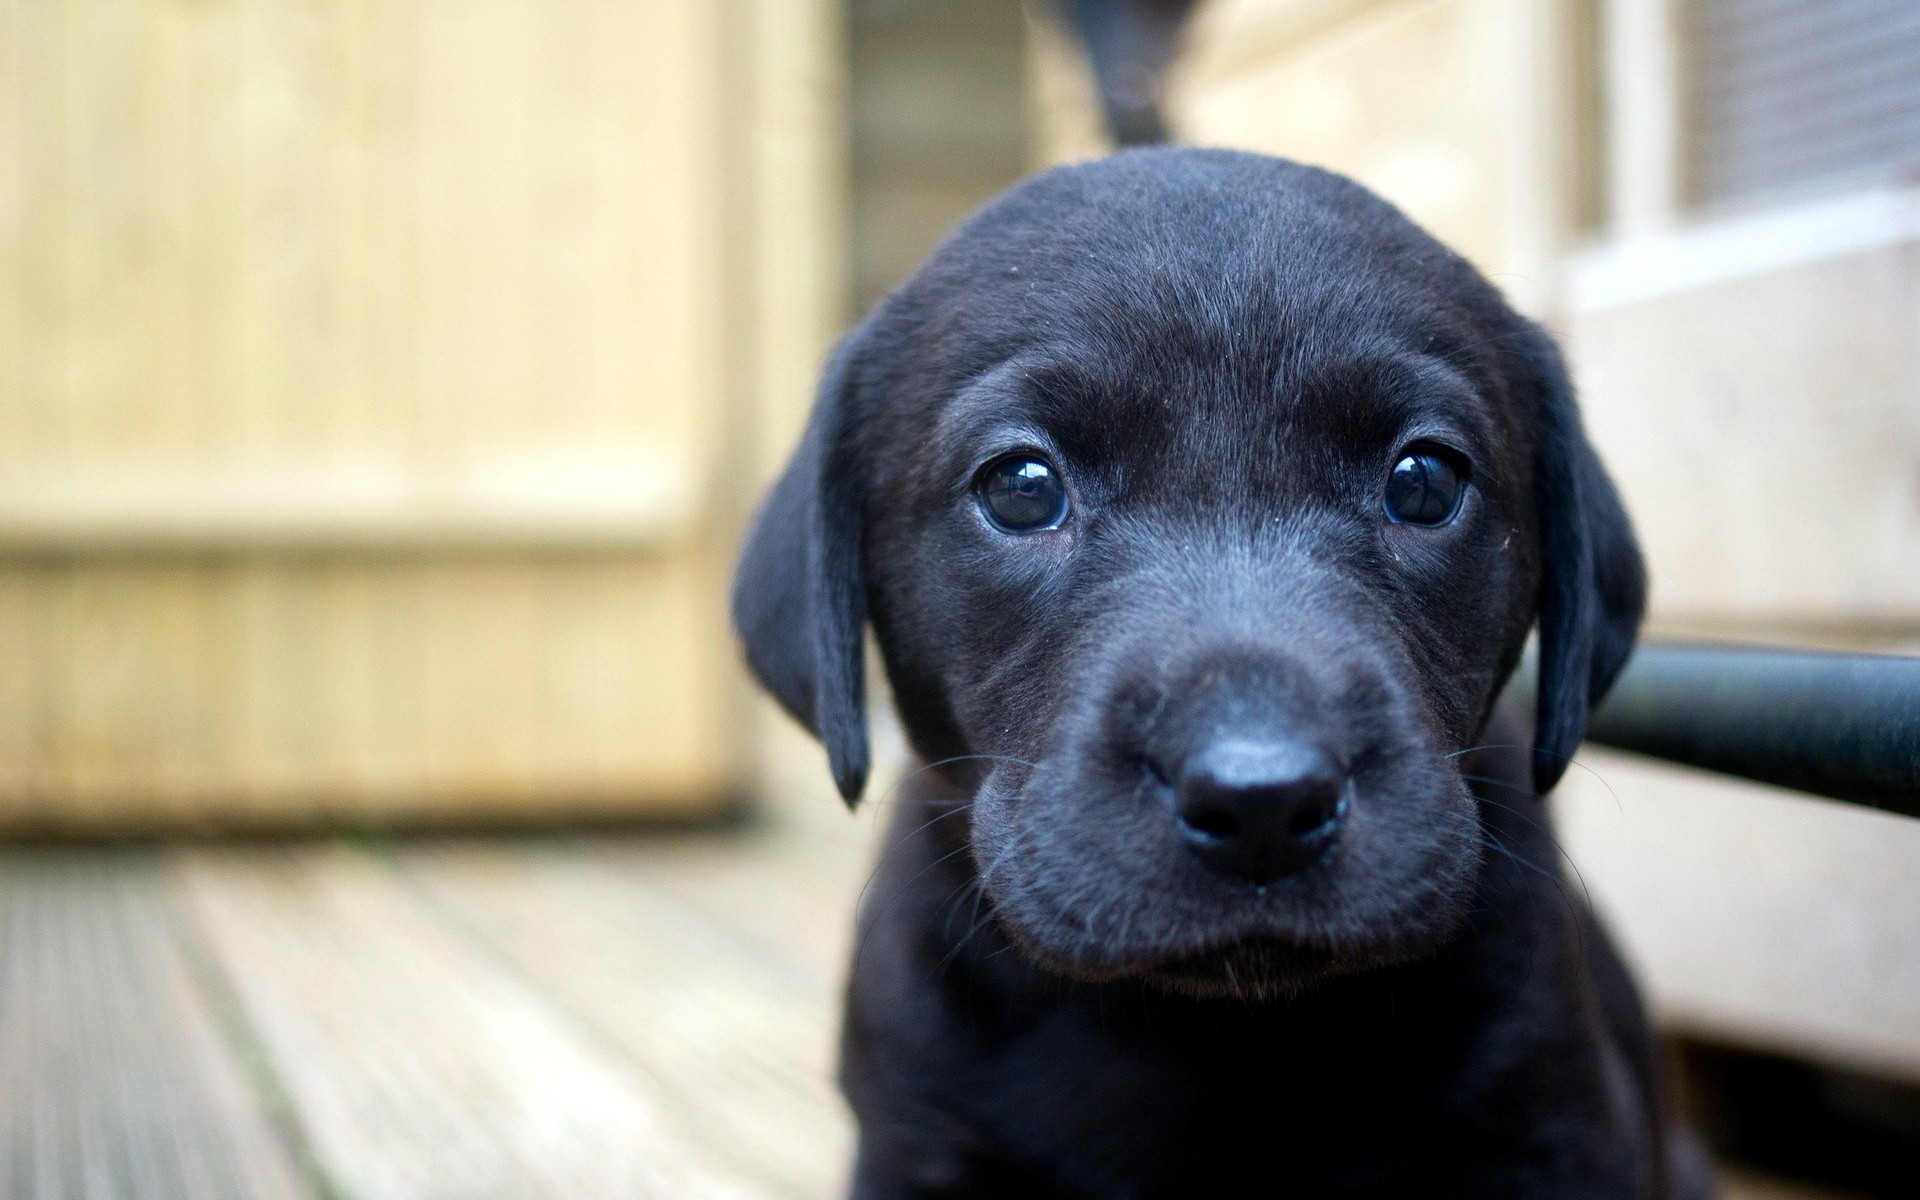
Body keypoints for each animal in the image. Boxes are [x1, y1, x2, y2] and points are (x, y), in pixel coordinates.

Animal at [733, 144, 1712, 1190]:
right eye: (1022, 487)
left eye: (1424, 480)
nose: (1261, 803)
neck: (1209, 1036)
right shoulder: (919, 1141)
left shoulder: (1553, 1133)